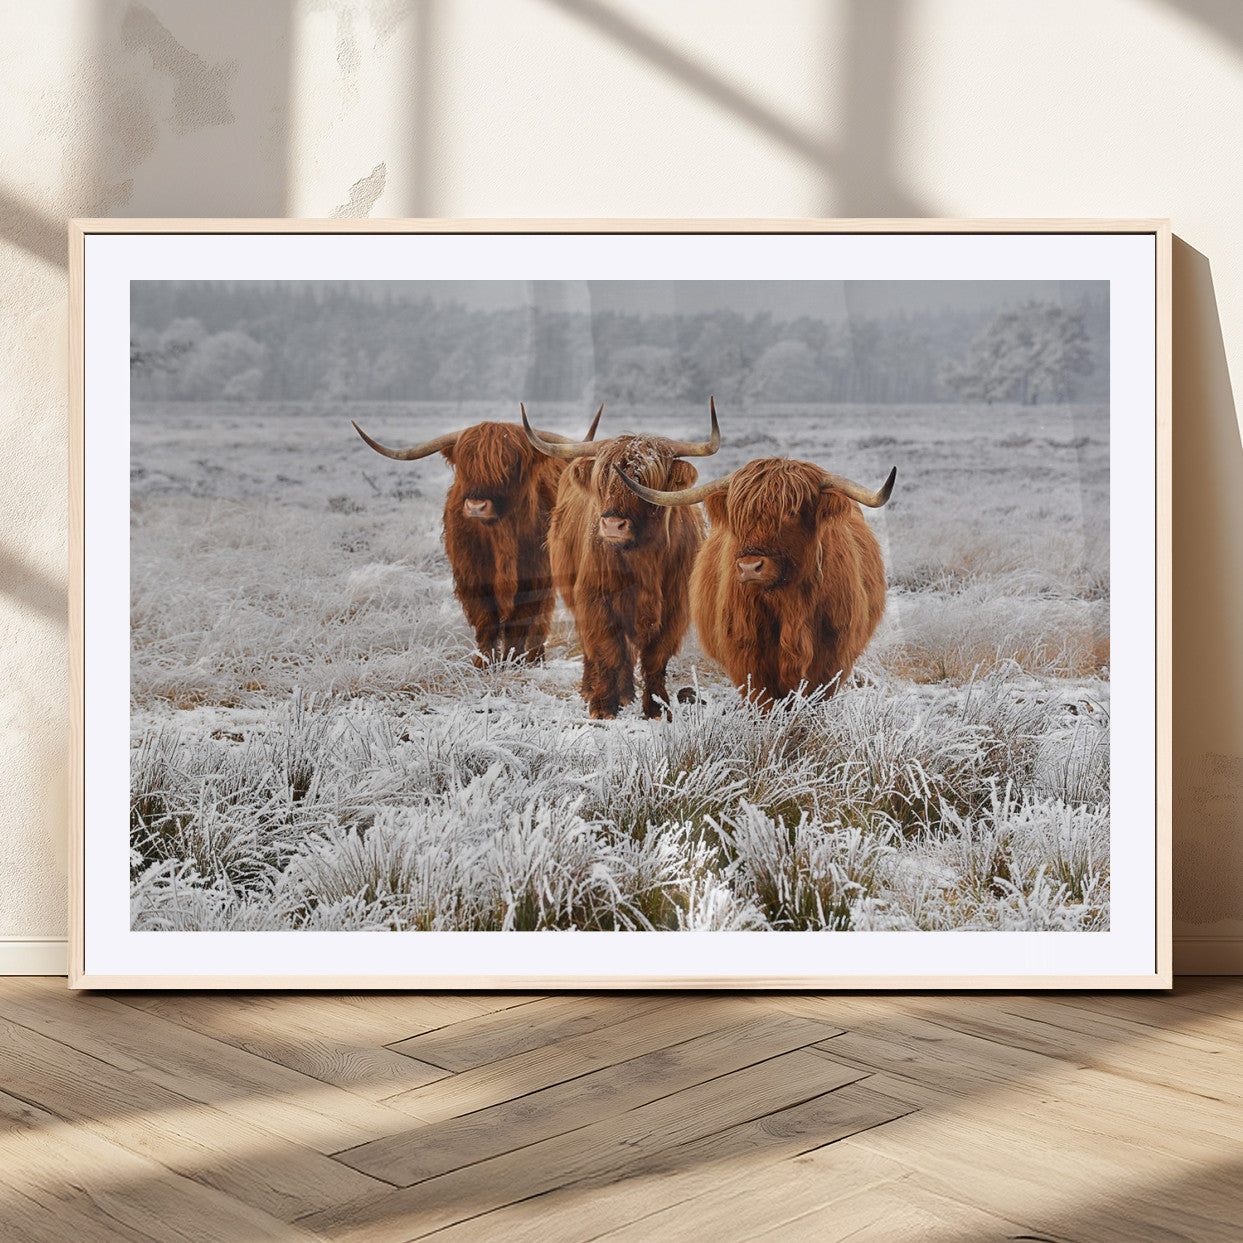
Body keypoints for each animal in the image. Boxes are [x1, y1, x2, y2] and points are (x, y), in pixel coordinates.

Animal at [352, 408, 601, 666]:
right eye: (465, 466)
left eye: (510, 465)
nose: (476, 506)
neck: (501, 537)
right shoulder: (471, 574)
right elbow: (485, 619)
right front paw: (484, 662)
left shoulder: (535, 574)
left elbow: (520, 620)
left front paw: (513, 660)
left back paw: (535, 657)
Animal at [522, 400, 721, 719]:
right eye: (602, 480)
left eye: (645, 481)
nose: (613, 525)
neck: (643, 560)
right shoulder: (595, 599)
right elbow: (608, 652)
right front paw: (603, 707)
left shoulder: (675, 607)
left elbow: (655, 658)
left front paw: (657, 708)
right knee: (597, 649)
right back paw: (593, 690)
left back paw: (627, 694)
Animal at [619, 453, 896, 706]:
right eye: (738, 514)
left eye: (791, 511)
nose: (749, 567)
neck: (790, 604)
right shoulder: (748, 657)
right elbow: (764, 702)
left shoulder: (832, 657)